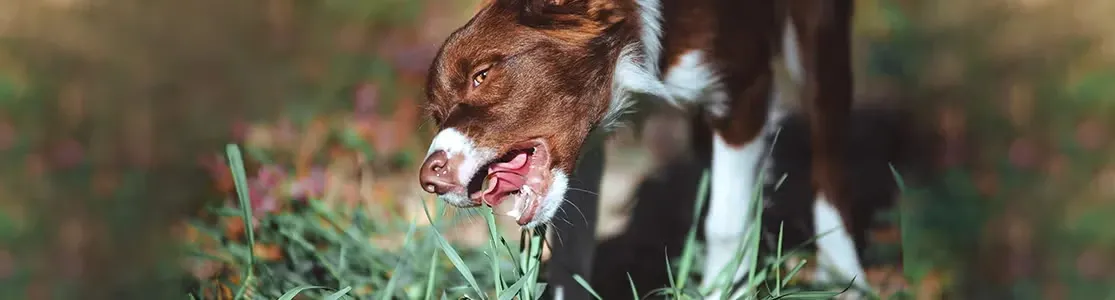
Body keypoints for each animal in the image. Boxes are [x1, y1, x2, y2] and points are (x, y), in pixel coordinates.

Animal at [421, 0, 865, 294]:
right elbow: (571, 252)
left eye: (481, 75)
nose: (429, 178)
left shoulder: (744, 90)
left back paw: (843, 272)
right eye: (437, 115)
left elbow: (725, 224)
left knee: (829, 143)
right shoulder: (590, 144)